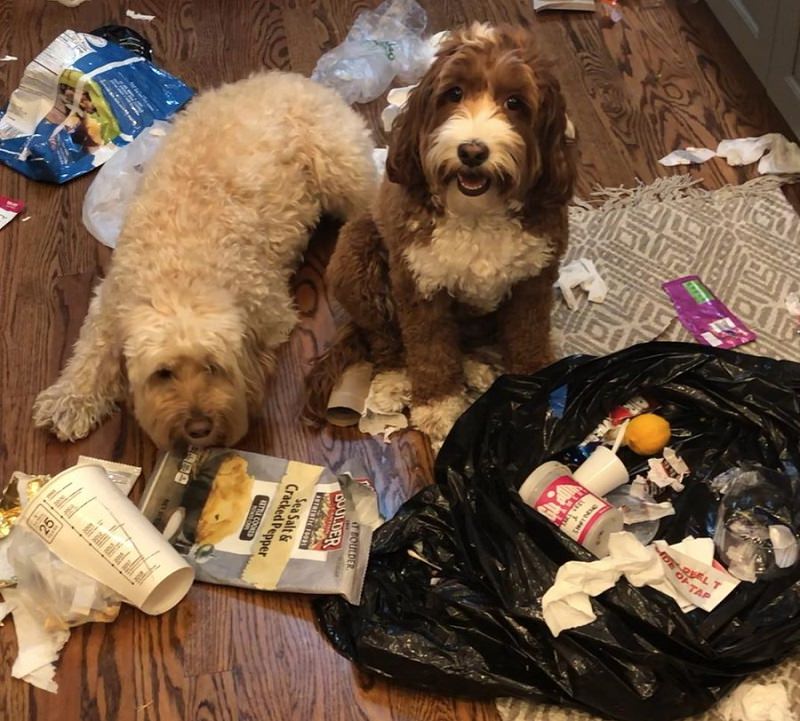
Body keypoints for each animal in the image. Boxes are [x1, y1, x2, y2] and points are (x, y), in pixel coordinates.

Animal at [306, 22, 576, 448]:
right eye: (454, 93)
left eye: (515, 102)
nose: (472, 151)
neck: (478, 214)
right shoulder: (420, 288)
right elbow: (430, 349)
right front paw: (438, 407)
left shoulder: (533, 281)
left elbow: (528, 334)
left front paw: (537, 383)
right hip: (357, 258)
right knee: (384, 338)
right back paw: (393, 380)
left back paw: (479, 365)